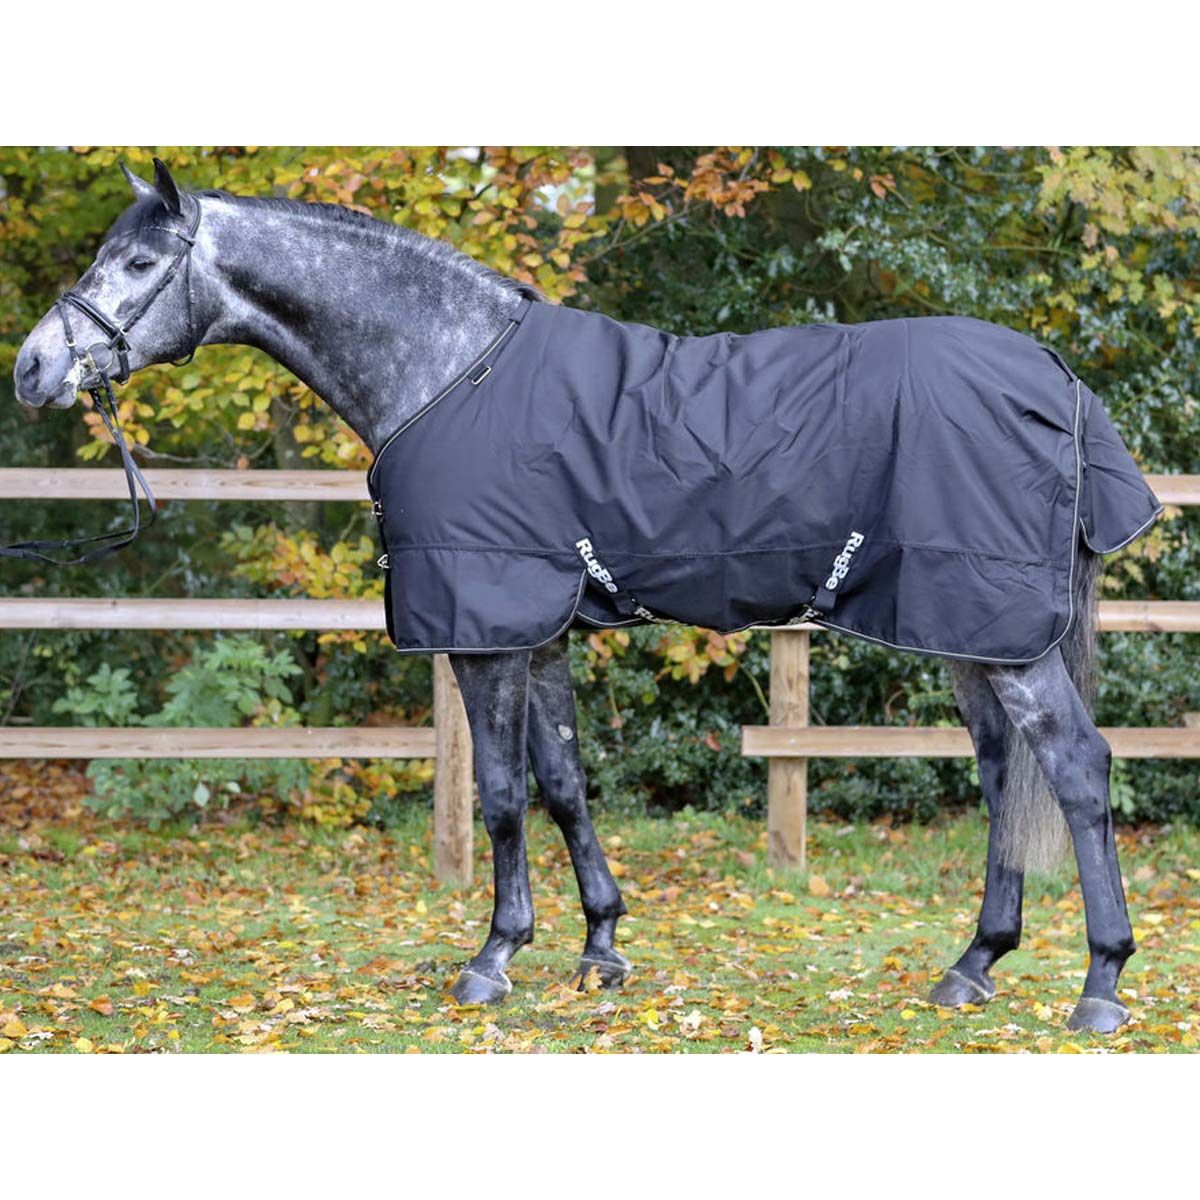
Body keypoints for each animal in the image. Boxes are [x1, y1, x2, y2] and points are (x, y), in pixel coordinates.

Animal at [12, 159, 1161, 1034]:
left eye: (141, 263)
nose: (30, 370)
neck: (447, 368)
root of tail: (1054, 374)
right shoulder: (544, 631)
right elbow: (564, 784)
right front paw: (601, 946)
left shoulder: (484, 631)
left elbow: (501, 797)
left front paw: (492, 958)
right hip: (968, 630)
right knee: (1005, 770)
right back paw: (973, 964)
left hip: (1003, 635)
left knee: (1076, 766)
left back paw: (1100, 984)